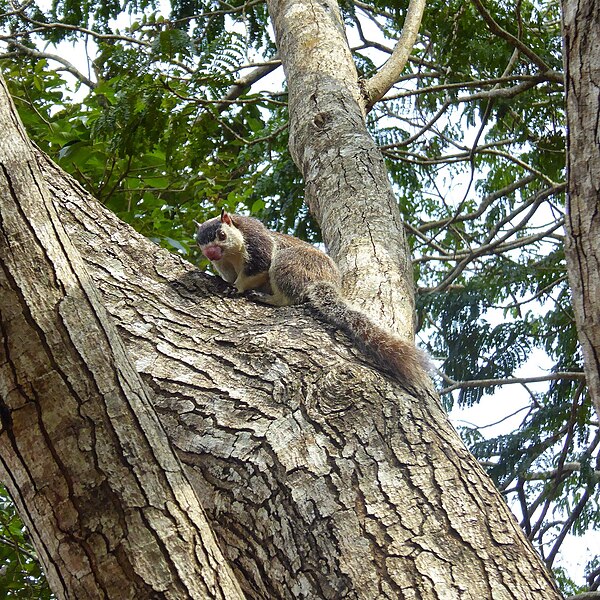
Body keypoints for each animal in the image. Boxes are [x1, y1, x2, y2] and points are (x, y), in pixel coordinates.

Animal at [197, 210, 432, 390]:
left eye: (221, 234)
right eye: (199, 243)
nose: (211, 253)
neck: (231, 256)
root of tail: (325, 280)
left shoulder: (256, 242)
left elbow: (257, 269)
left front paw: (237, 287)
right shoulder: (224, 266)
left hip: (290, 263)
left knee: (289, 296)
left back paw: (269, 298)